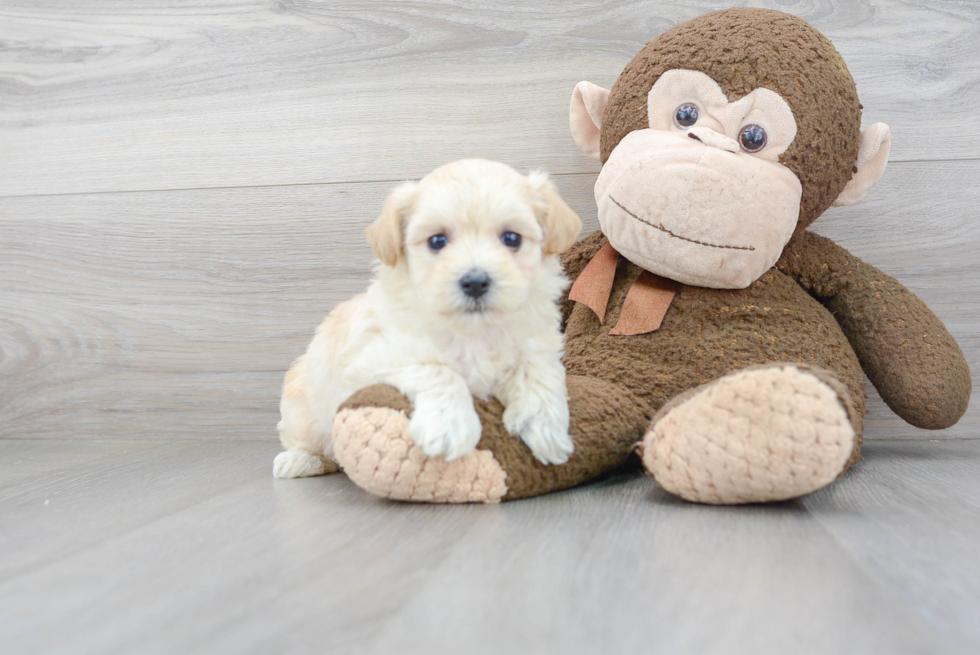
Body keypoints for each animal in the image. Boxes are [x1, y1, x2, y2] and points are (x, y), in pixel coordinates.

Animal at [272, 158, 580, 476]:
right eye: (437, 241)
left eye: (511, 238)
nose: (475, 282)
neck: (472, 332)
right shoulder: (374, 361)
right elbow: (437, 370)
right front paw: (449, 428)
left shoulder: (536, 347)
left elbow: (537, 375)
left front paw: (547, 430)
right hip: (302, 411)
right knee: (310, 442)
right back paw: (299, 460)